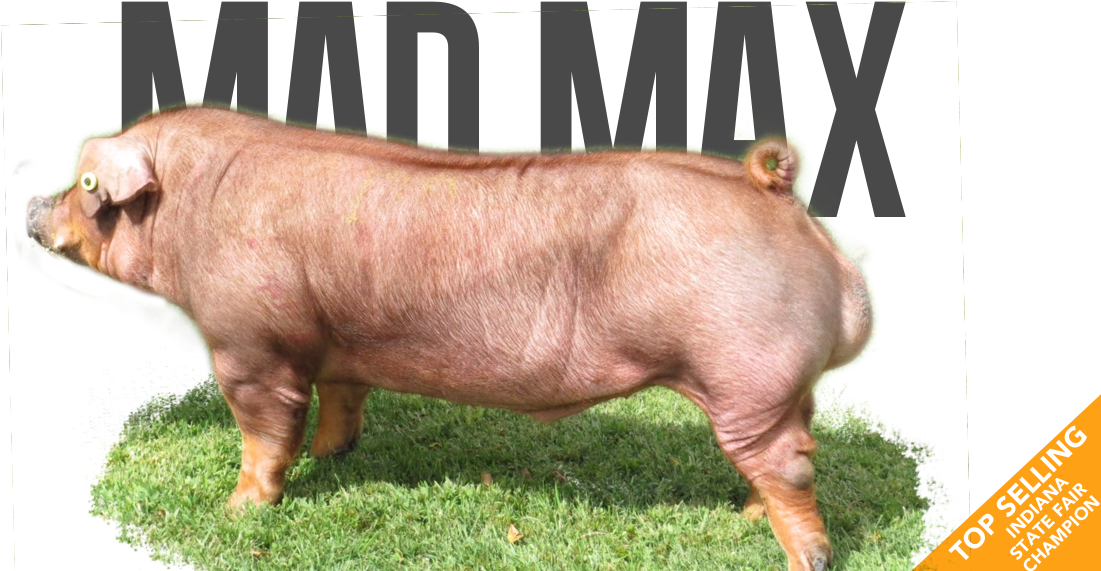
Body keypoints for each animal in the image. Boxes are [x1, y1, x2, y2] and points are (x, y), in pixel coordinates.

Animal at [24, 106, 872, 571]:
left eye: (85, 183)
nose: (30, 199)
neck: (191, 206)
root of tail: (772, 187)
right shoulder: (339, 341)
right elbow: (342, 396)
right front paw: (335, 456)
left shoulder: (250, 343)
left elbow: (264, 431)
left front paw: (239, 512)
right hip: (774, 387)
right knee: (793, 445)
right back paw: (745, 518)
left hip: (743, 369)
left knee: (789, 464)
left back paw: (803, 555)